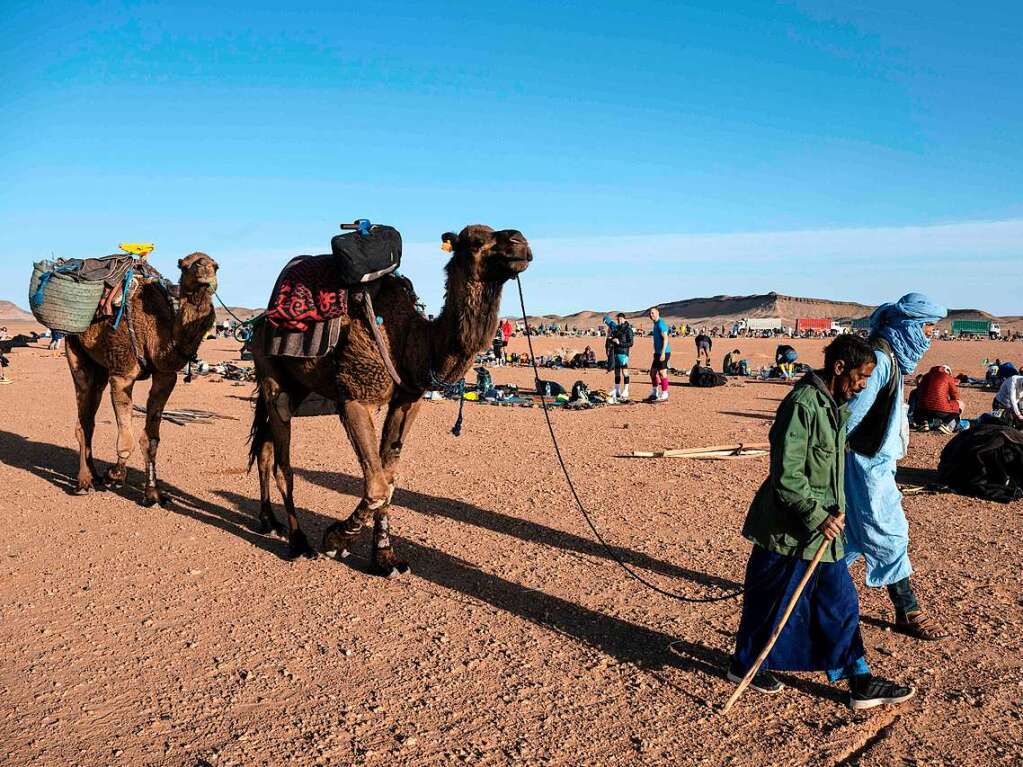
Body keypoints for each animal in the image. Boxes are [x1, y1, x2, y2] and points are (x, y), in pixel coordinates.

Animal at [66, 253, 219, 505]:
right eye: (185, 265)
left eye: (216, 266)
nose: (204, 268)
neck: (159, 336)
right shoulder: (122, 374)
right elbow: (126, 437)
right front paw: (115, 473)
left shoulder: (165, 377)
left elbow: (152, 439)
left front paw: (153, 493)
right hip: (74, 347)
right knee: (83, 415)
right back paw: (84, 481)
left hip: (100, 366)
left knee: (90, 415)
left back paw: (94, 475)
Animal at [250, 224, 531, 572]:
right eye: (476, 240)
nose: (520, 242)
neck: (412, 342)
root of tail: (259, 322)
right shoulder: (355, 397)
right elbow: (376, 486)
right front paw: (335, 539)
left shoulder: (407, 400)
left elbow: (389, 479)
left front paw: (385, 557)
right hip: (270, 372)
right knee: (282, 463)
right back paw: (299, 542)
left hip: (298, 384)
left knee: (263, 447)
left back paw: (269, 521)